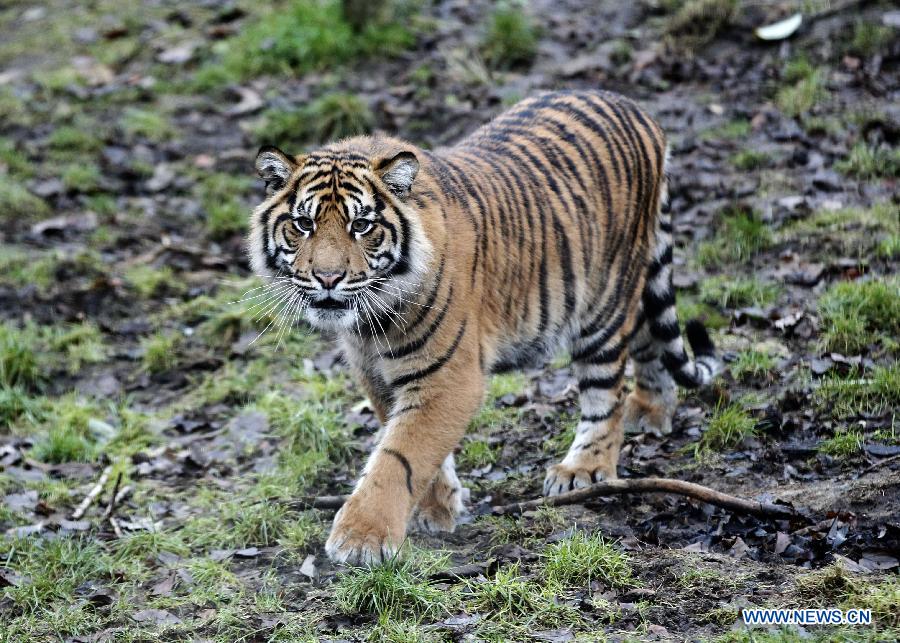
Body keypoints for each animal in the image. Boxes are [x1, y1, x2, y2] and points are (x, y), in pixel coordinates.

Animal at [248, 89, 724, 564]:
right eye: (303, 224)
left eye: (361, 225)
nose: (327, 278)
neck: (371, 320)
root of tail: (635, 108)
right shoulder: (376, 374)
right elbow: (414, 445)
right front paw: (438, 508)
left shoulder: (449, 378)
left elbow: (399, 455)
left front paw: (361, 537)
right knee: (646, 334)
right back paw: (652, 409)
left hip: (603, 297)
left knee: (606, 391)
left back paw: (583, 468)